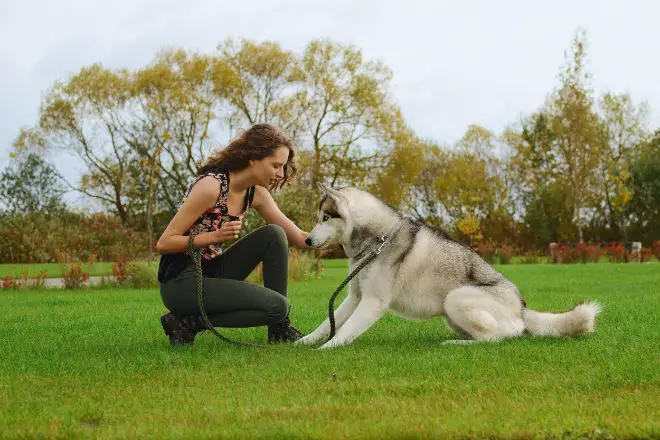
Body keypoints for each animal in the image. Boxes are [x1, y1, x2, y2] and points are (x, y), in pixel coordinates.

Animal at [300, 184, 604, 348]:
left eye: (326, 218)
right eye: (318, 218)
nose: (306, 239)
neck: (377, 239)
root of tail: (521, 307)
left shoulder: (373, 301)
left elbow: (346, 330)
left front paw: (327, 348)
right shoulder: (355, 297)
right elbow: (328, 323)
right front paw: (305, 342)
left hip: (456, 297)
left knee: (500, 337)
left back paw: (455, 344)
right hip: (451, 312)